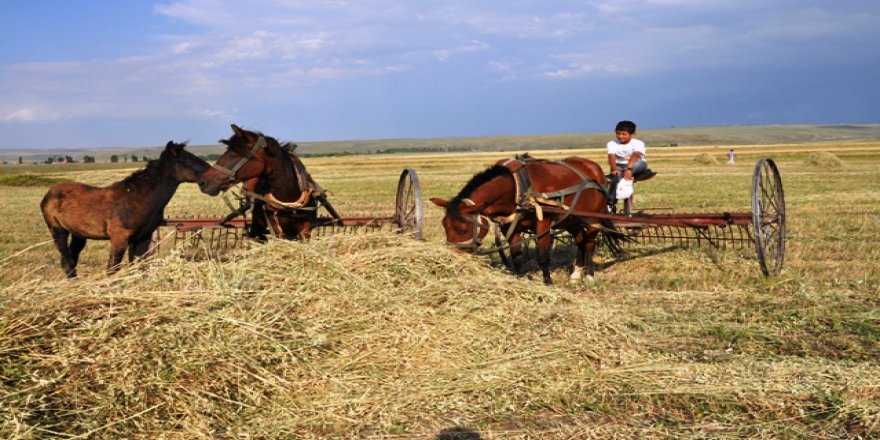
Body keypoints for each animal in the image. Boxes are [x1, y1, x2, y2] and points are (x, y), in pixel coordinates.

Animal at [42, 142, 212, 278]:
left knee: (71, 257)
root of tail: (49, 193)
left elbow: (138, 266)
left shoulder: (142, 238)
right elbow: (112, 268)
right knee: (66, 258)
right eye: (188, 160)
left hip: (79, 234)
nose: (210, 179)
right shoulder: (119, 239)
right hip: (58, 231)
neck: (138, 198)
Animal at [432, 155, 624, 286]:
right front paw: (519, 278)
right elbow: (517, 257)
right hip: (572, 220)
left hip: (593, 218)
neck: (516, 187)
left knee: (589, 244)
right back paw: (576, 274)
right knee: (580, 242)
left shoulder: (543, 224)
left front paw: (548, 282)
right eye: (444, 226)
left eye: (462, 229)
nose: (451, 260)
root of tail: (595, 170)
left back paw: (589, 276)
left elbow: (543, 256)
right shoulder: (509, 226)